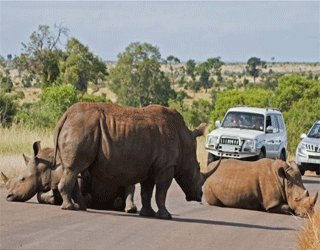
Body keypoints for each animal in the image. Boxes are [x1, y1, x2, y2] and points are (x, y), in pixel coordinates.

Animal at [0, 142, 136, 212]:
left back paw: (124, 206)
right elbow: (40, 195)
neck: (48, 164)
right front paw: (56, 199)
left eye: (23, 179)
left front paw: (84, 201)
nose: (8, 197)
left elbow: (79, 189)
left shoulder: (79, 174)